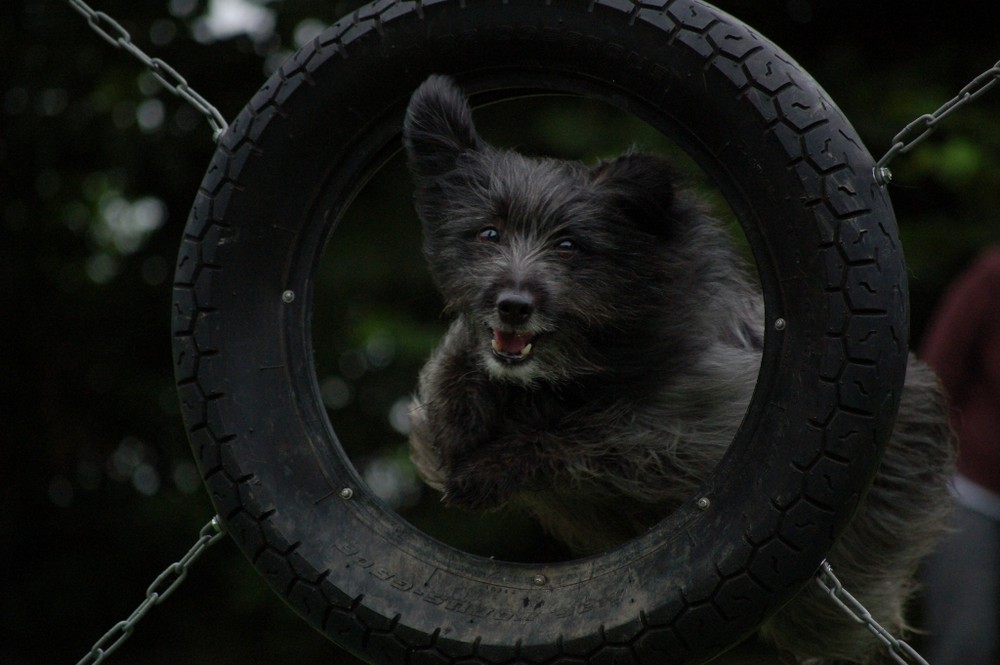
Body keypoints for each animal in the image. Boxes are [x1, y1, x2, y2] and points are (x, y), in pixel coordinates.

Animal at [402, 74, 956, 664]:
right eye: (488, 233)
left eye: (569, 245)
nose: (512, 306)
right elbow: (447, 389)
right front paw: (460, 416)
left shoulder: (700, 421)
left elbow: (589, 434)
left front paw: (492, 465)